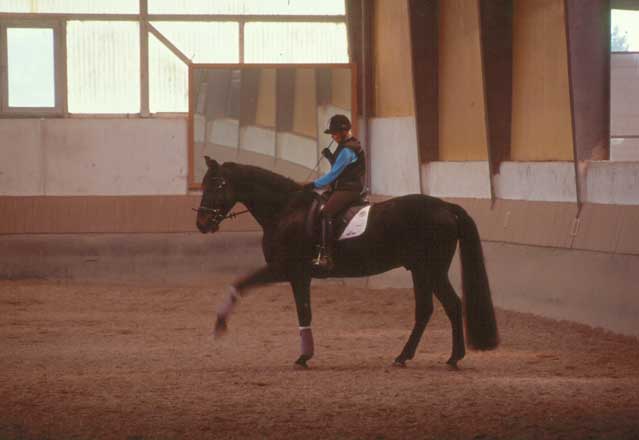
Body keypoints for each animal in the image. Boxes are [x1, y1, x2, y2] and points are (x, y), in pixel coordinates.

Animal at [195, 156, 500, 370]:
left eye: (217, 184)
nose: (202, 223)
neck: (285, 211)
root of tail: (447, 207)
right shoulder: (296, 274)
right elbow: (301, 312)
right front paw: (305, 355)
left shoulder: (287, 270)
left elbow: (246, 287)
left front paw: (221, 324)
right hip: (420, 270)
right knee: (427, 309)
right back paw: (405, 356)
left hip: (432, 270)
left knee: (451, 305)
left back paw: (452, 357)